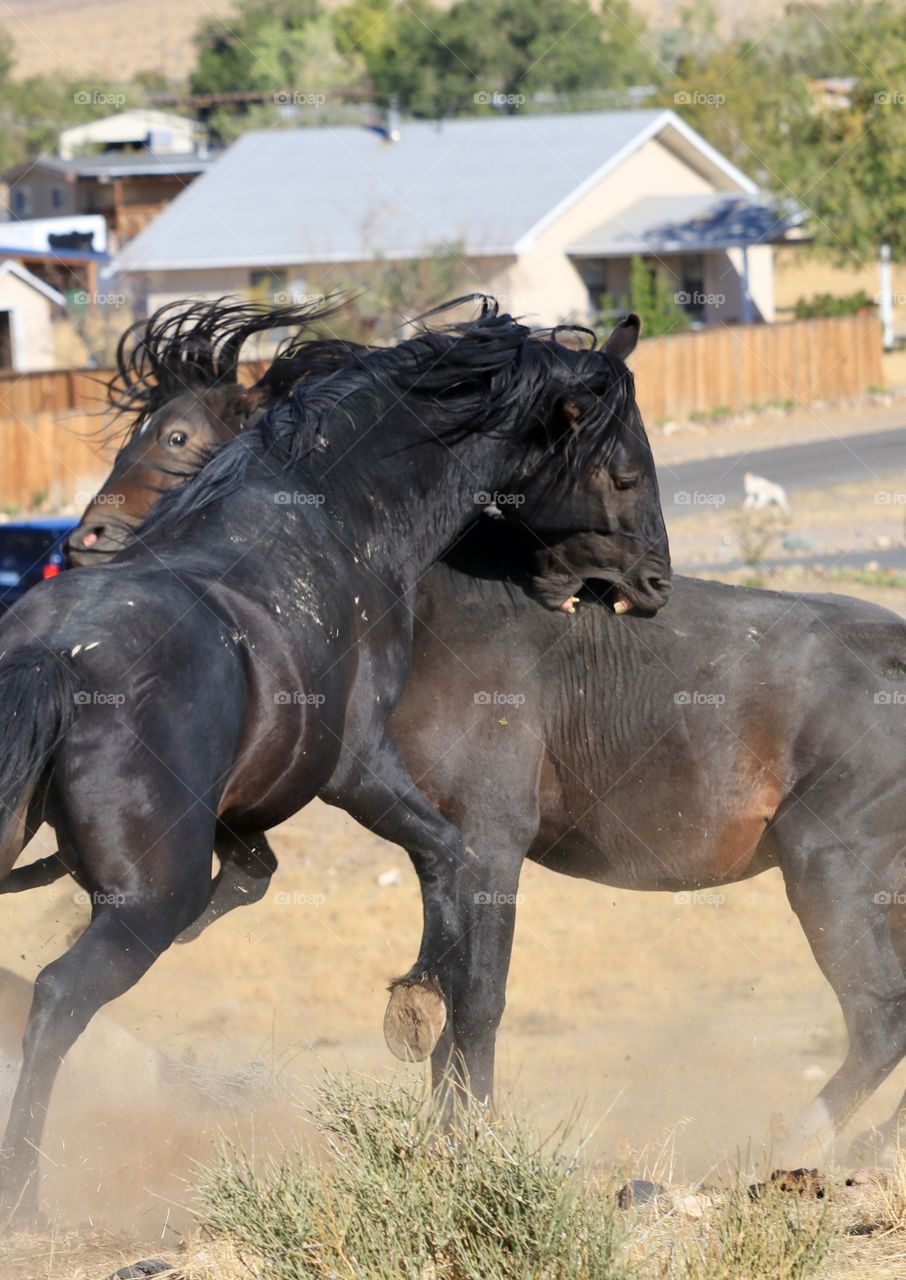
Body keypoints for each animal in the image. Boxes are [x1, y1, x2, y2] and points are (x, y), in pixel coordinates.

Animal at [0, 294, 670, 1213]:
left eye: (171, 436)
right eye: (627, 472)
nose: (657, 583)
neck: (328, 518)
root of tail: (54, 658)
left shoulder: (257, 797)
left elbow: (259, 873)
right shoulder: (358, 770)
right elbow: (446, 864)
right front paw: (418, 1004)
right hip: (148, 899)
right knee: (60, 998)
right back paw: (29, 1198)